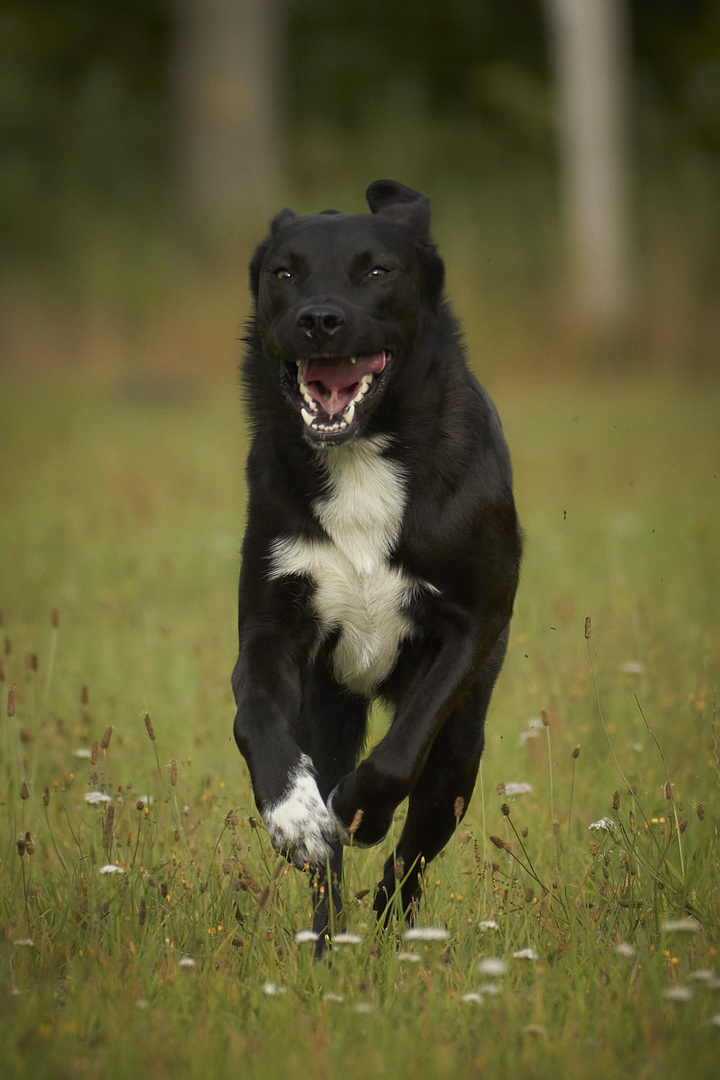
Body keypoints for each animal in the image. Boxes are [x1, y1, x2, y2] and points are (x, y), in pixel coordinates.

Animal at [234, 181, 520, 941]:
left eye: (376, 271)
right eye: (285, 272)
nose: (319, 320)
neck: (360, 454)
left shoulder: (472, 623)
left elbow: (400, 752)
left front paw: (359, 810)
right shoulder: (271, 629)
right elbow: (255, 717)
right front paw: (297, 817)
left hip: (463, 750)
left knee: (414, 853)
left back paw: (395, 930)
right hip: (327, 707)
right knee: (330, 878)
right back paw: (328, 946)